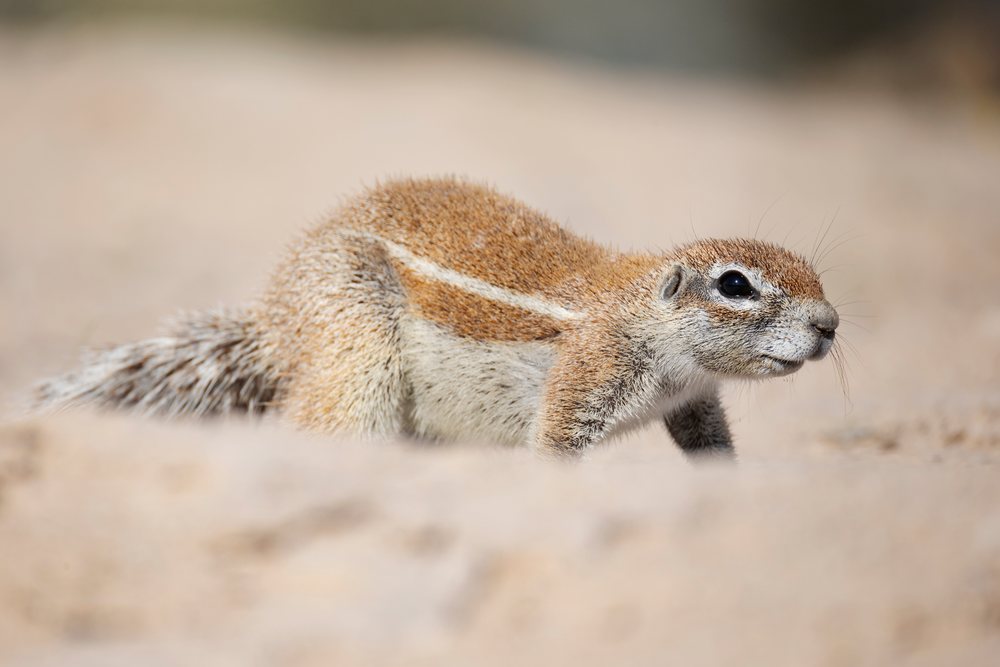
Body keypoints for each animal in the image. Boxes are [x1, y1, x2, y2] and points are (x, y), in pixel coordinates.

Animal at [36, 177, 839, 460]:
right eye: (735, 284)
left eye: (818, 273)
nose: (830, 324)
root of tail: (274, 322)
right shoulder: (588, 374)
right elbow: (555, 449)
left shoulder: (695, 401)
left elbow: (711, 446)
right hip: (356, 344)